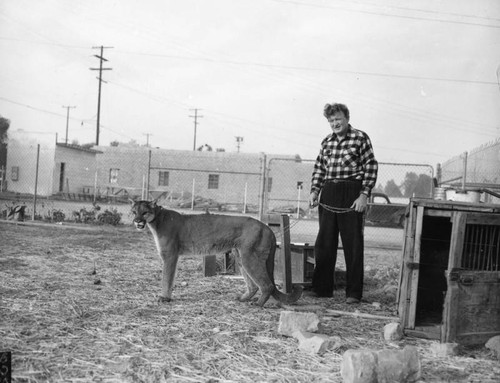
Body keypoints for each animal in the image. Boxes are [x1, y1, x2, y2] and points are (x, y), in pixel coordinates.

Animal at [131, 200, 302, 308]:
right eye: (134, 212)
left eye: (144, 212)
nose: (137, 221)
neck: (157, 220)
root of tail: (267, 228)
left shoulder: (170, 256)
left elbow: (166, 279)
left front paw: (165, 297)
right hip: (241, 257)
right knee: (254, 285)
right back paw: (242, 298)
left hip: (249, 257)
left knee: (267, 285)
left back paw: (257, 304)